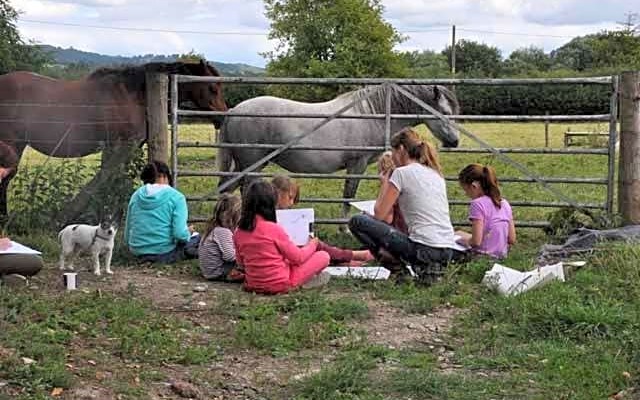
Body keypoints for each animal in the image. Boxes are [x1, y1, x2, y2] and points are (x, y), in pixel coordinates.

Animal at [0, 58, 228, 219]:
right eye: (212, 88)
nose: (223, 117)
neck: (133, 95)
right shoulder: (119, 145)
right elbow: (111, 179)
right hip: (12, 146)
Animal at [218, 83, 458, 217]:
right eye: (445, 112)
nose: (455, 142)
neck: (372, 114)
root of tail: (234, 110)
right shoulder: (357, 164)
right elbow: (348, 194)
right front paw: (344, 227)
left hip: (246, 165)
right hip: (251, 165)